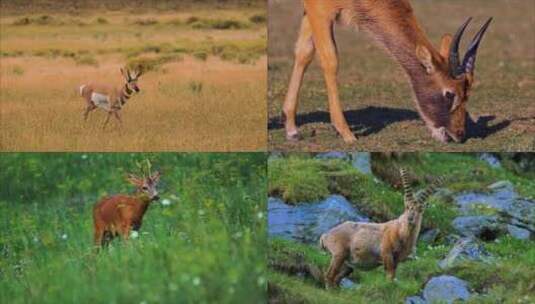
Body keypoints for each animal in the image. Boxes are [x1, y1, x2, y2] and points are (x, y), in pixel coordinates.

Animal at [282, 0, 496, 144]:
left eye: (467, 94)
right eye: (449, 93)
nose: (459, 134)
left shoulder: (311, 11)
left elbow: (304, 52)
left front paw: (292, 129)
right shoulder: (320, 10)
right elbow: (330, 59)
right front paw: (347, 134)